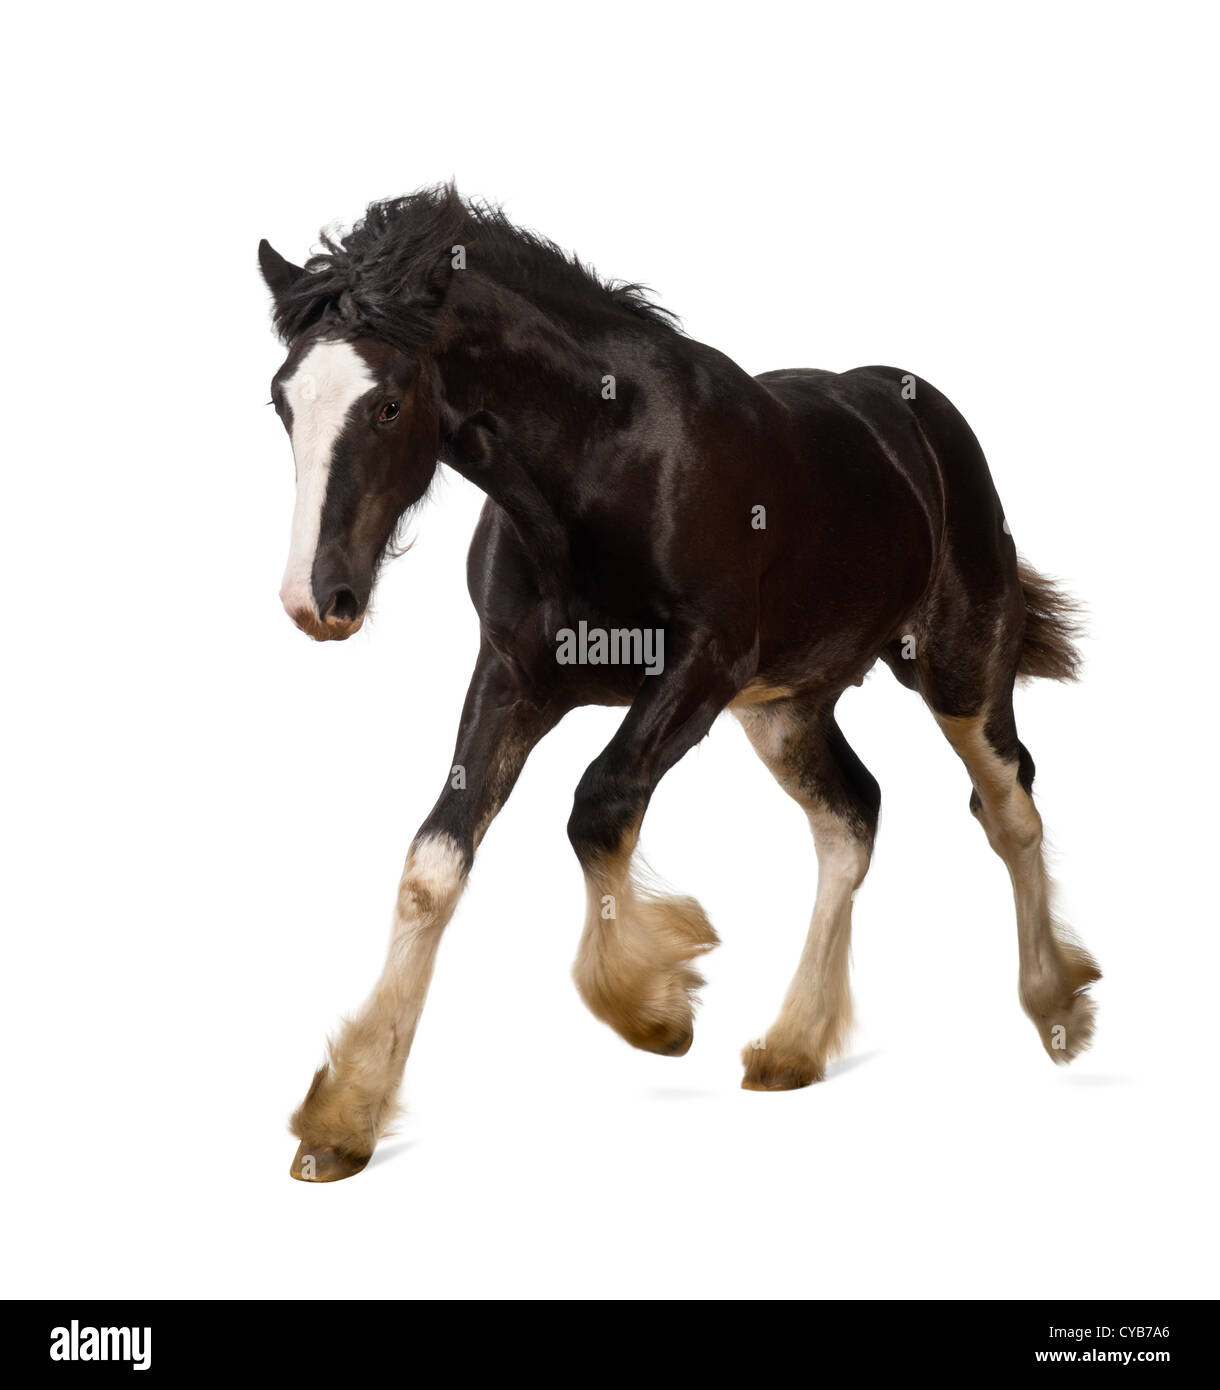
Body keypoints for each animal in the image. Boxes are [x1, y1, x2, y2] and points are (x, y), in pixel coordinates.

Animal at [259, 184, 1099, 1182]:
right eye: (282, 401)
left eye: (387, 404)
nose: (317, 601)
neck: (602, 465)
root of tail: (924, 420)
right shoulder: (511, 678)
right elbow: (434, 864)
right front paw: (342, 1117)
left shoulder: (701, 665)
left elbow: (599, 802)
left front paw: (655, 1005)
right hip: (785, 709)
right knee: (851, 814)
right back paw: (792, 1046)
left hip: (959, 668)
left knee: (1009, 805)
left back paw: (1057, 1005)